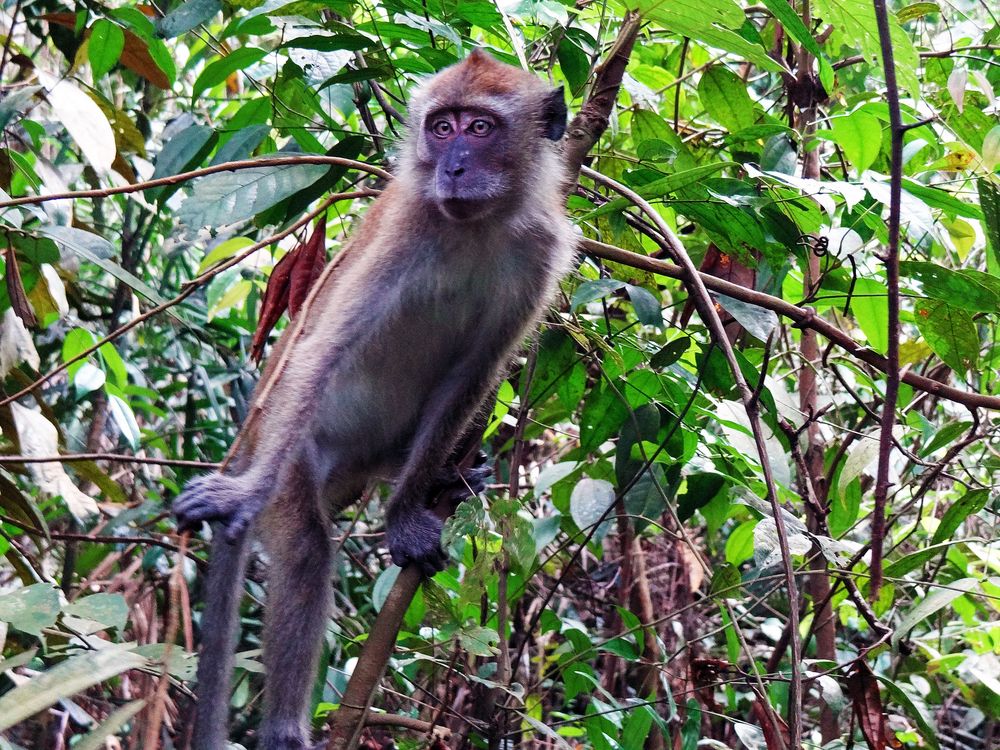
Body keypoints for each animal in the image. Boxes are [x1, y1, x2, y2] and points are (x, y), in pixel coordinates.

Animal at [173, 50, 580, 748]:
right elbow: (321, 353)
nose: (452, 168)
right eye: (441, 128)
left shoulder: (541, 253)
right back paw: (284, 730)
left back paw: (438, 474)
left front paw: (408, 508)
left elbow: (473, 371)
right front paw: (242, 496)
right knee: (306, 548)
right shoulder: (402, 233)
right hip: (294, 456)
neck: (478, 225)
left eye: (479, 127)